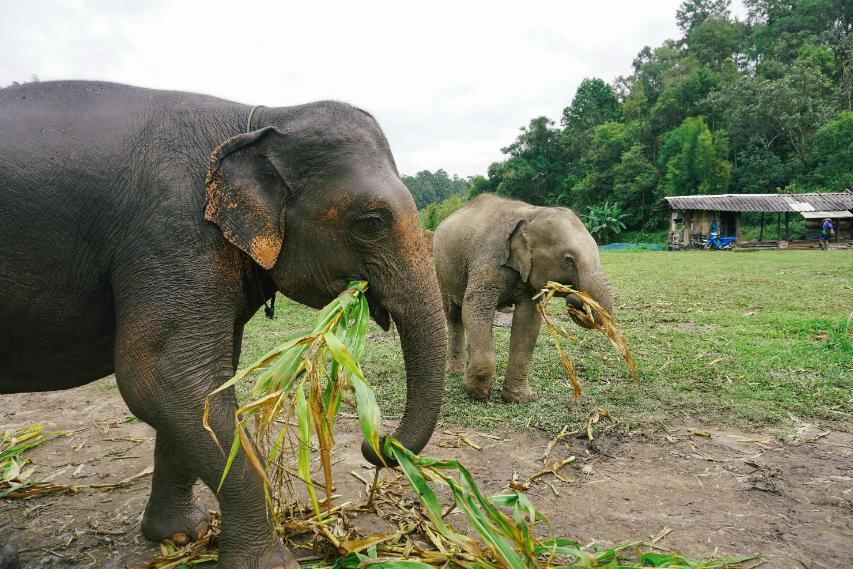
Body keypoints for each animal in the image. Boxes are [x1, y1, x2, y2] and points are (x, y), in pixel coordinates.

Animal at [0, 81, 450, 568]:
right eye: (370, 222)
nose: (377, 446)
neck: (259, 119)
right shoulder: (173, 230)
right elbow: (163, 380)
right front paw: (271, 563)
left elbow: (199, 389)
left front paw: (183, 534)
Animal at [432, 194, 612, 404]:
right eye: (568, 259)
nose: (575, 298)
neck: (530, 213)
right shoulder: (487, 262)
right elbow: (475, 311)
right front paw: (478, 394)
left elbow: (528, 323)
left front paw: (518, 399)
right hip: (441, 270)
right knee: (453, 314)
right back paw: (455, 372)